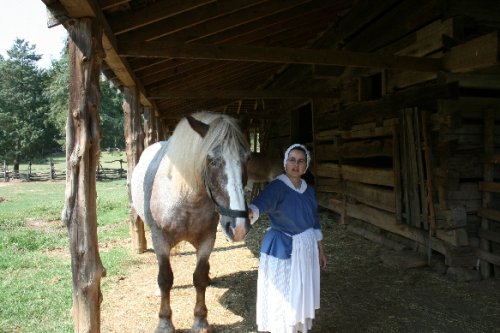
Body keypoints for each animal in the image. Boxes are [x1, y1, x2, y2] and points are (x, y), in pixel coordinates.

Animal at [131, 112, 252, 332]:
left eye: (247, 158)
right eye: (211, 160)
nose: (239, 227)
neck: (185, 198)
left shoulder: (207, 239)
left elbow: (200, 278)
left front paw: (200, 320)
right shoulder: (160, 240)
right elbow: (165, 279)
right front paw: (164, 322)